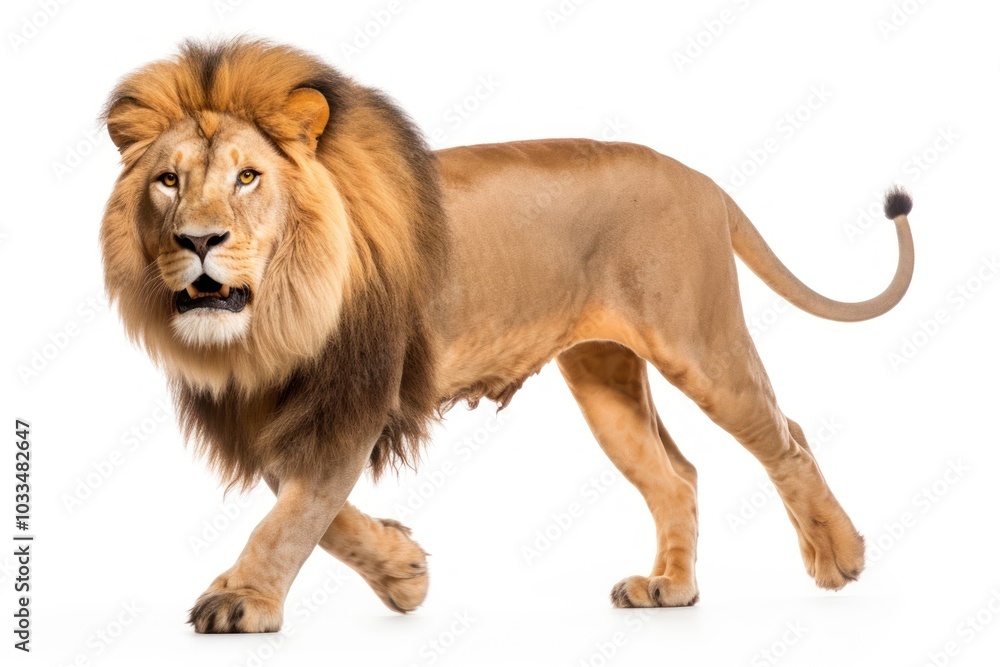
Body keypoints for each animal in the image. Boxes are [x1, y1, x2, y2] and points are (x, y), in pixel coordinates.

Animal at [100, 38, 914, 633]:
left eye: (248, 177)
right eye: (168, 180)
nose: (198, 240)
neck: (274, 315)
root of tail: (704, 182)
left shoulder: (357, 394)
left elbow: (294, 514)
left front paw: (244, 601)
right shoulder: (289, 408)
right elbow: (311, 506)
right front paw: (404, 572)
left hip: (700, 343)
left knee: (788, 437)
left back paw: (839, 558)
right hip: (603, 375)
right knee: (677, 474)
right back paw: (670, 589)